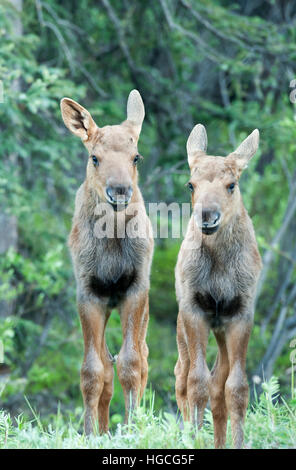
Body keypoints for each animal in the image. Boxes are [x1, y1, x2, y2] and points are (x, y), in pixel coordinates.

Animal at [59, 90, 153, 436]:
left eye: (136, 157)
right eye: (94, 157)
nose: (120, 191)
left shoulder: (135, 288)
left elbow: (131, 363)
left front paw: (132, 427)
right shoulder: (88, 292)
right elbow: (91, 370)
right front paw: (89, 432)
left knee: (142, 357)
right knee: (105, 364)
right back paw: (101, 427)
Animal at [175, 125, 262, 448]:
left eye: (231, 184)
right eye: (191, 184)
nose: (207, 216)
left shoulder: (240, 313)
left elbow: (236, 388)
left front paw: (236, 443)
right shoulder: (194, 309)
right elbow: (196, 383)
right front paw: (196, 440)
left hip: (221, 331)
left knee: (217, 382)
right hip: (182, 328)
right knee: (182, 377)